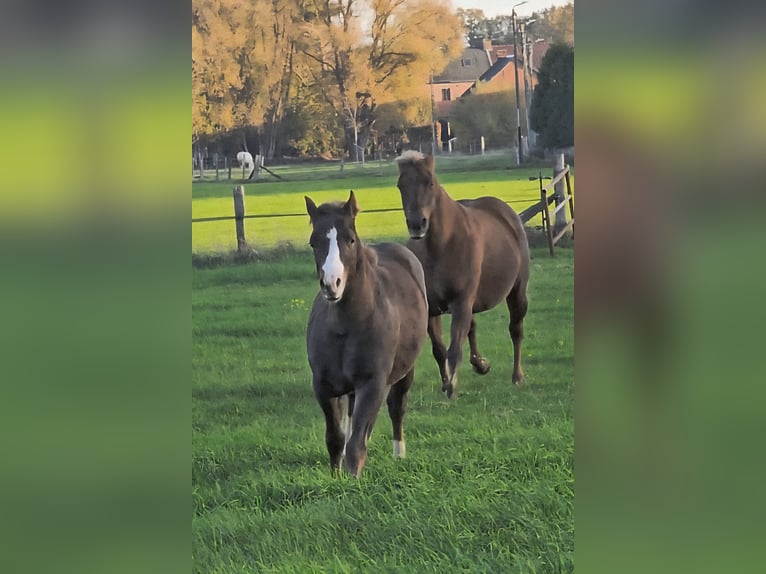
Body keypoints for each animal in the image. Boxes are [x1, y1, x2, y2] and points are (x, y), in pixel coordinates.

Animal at [305, 190, 428, 477]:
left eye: (350, 239)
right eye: (314, 242)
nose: (331, 284)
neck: (345, 327)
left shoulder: (372, 384)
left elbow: (357, 444)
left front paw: (353, 479)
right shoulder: (324, 386)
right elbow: (336, 438)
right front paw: (335, 476)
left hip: (405, 371)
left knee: (397, 408)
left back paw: (399, 453)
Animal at [395, 150, 530, 398]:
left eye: (430, 182)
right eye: (401, 185)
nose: (417, 224)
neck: (440, 246)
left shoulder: (461, 301)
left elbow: (454, 347)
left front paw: (452, 388)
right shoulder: (433, 308)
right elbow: (439, 349)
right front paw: (446, 382)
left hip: (517, 292)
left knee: (516, 330)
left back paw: (517, 376)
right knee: (473, 328)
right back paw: (481, 364)